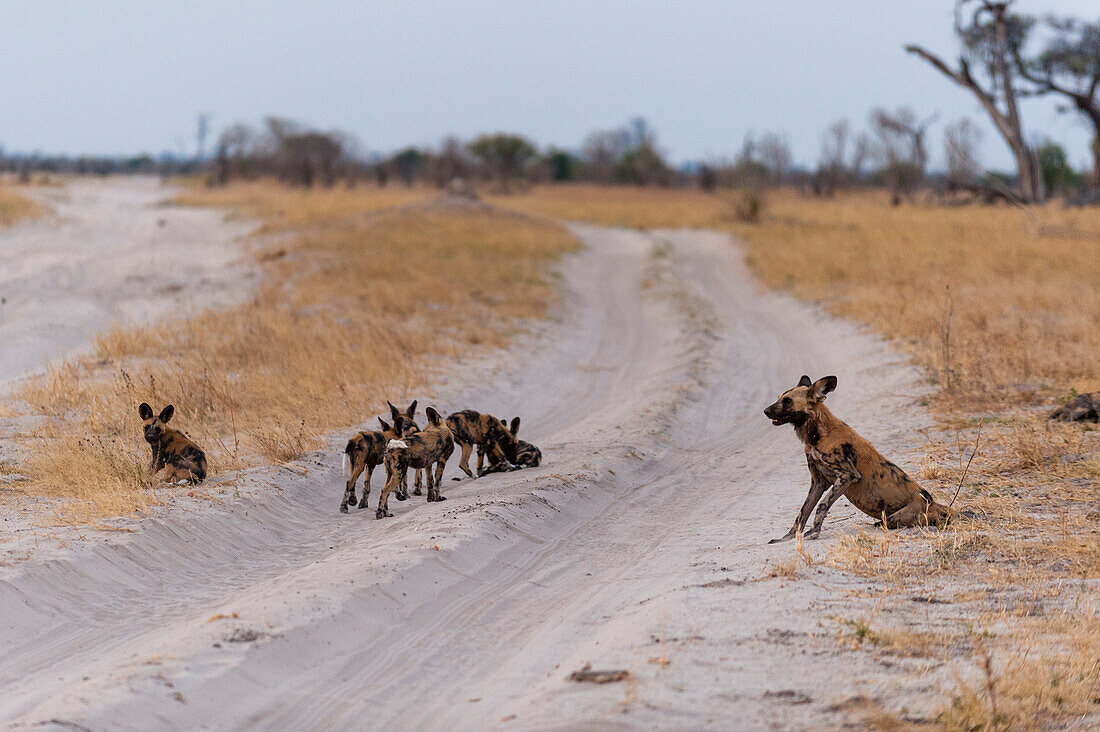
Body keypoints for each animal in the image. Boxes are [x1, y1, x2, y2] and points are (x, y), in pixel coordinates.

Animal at [765, 376, 954, 541]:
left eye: (787, 401)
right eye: (779, 398)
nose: (765, 411)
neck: (817, 435)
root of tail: (933, 503)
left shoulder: (847, 476)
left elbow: (821, 506)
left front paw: (814, 533)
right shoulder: (818, 481)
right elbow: (803, 512)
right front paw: (788, 537)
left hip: (892, 518)